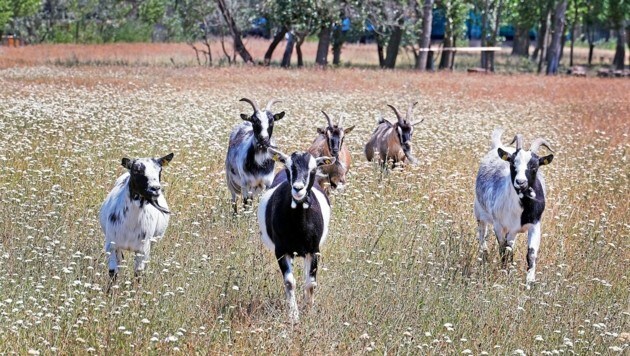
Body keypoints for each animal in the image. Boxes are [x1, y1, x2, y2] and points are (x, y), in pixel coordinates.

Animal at [99, 153, 174, 286]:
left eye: (160, 170)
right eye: (136, 171)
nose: (155, 188)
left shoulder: (142, 250)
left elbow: (138, 275)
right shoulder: (111, 246)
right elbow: (113, 273)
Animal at [256, 147, 336, 322]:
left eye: (313, 169)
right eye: (288, 168)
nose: (298, 188)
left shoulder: (314, 250)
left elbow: (311, 283)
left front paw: (309, 311)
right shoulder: (281, 251)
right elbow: (289, 282)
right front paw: (294, 315)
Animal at [476, 129, 556, 286]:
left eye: (534, 166)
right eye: (513, 163)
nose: (520, 182)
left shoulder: (534, 225)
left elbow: (531, 253)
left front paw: (530, 282)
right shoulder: (499, 225)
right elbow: (504, 250)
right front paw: (505, 273)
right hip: (479, 212)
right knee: (482, 235)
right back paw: (485, 255)